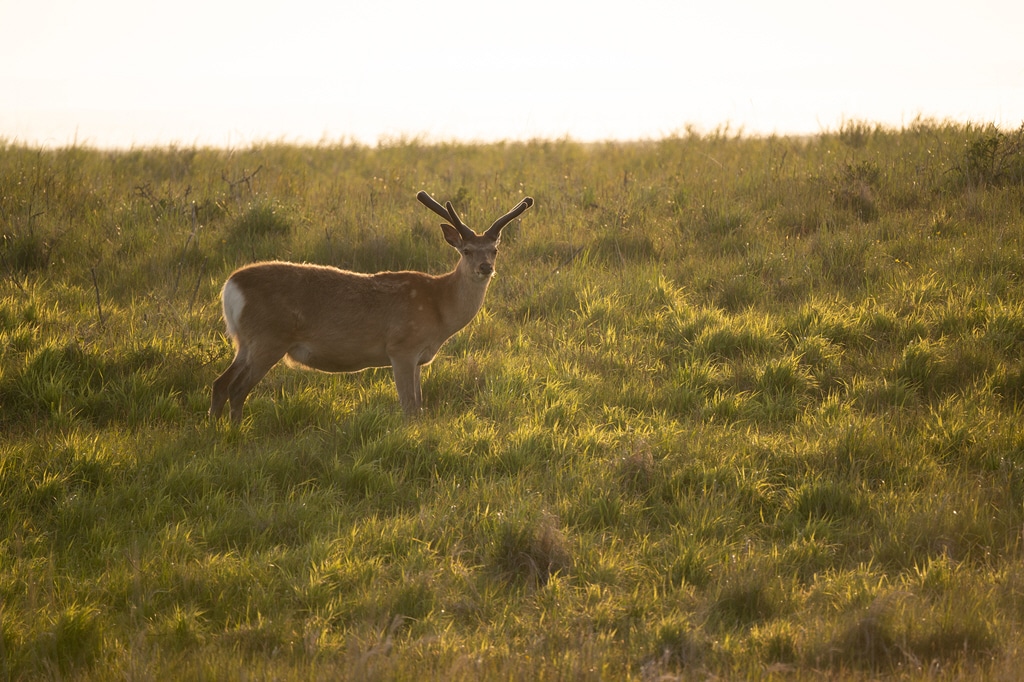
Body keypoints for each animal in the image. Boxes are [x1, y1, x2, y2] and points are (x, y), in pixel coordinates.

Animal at [203, 191, 532, 421]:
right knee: (237, 389)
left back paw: (216, 430)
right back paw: (234, 431)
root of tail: (231, 286)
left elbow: (420, 406)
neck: (439, 308)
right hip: (269, 337)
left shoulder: (418, 357)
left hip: (245, 341)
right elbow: (409, 407)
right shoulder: (401, 347)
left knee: (220, 383)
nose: (485, 267)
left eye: (494, 249)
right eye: (466, 250)